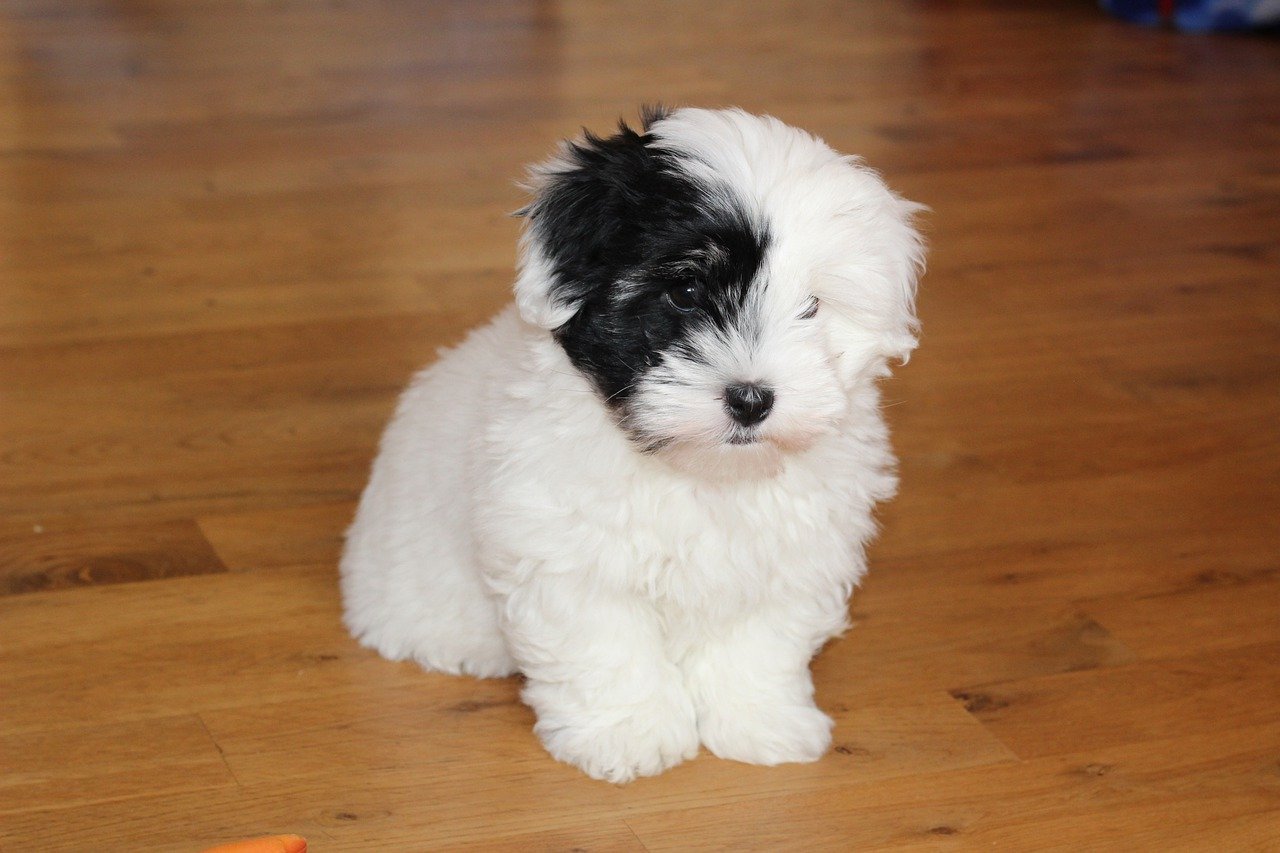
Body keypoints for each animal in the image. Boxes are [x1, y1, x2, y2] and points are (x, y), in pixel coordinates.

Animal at [340, 108, 921, 783]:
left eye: (812, 307)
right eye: (687, 293)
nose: (751, 399)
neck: (698, 474)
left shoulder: (790, 559)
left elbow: (756, 644)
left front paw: (759, 721)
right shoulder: (569, 557)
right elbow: (606, 647)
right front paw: (626, 734)